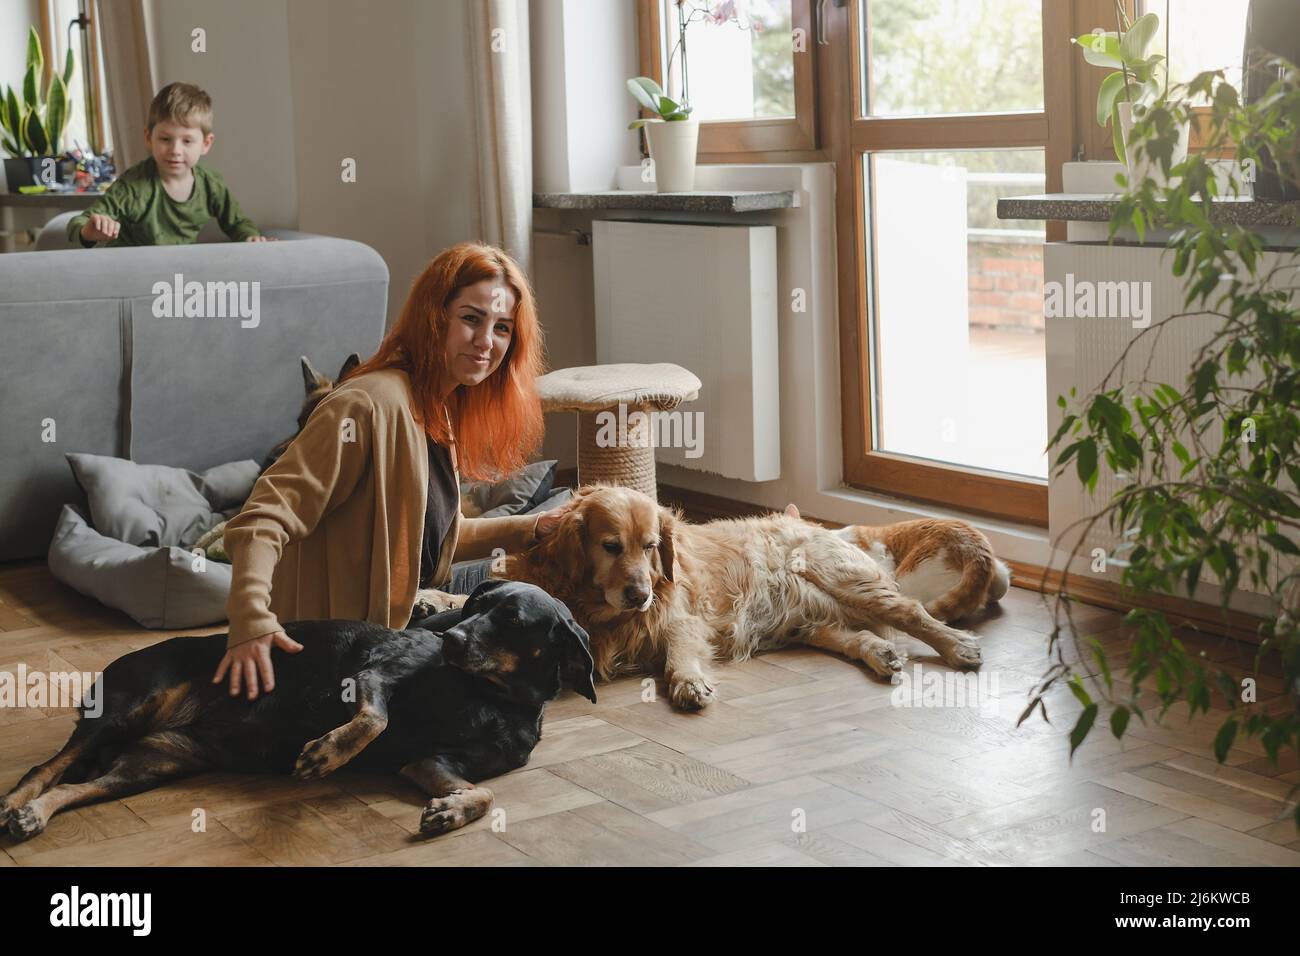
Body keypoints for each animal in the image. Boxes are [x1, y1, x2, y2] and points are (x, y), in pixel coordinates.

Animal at [0, 580, 595, 842]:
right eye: (475, 604)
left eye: (511, 619)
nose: (449, 639)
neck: (491, 696)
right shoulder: (372, 676)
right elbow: (374, 720)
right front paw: (326, 754)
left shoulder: (431, 763)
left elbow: (484, 792)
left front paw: (449, 812)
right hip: (132, 704)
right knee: (45, 768)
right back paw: (15, 804)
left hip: (150, 764)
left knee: (78, 785)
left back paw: (35, 814)